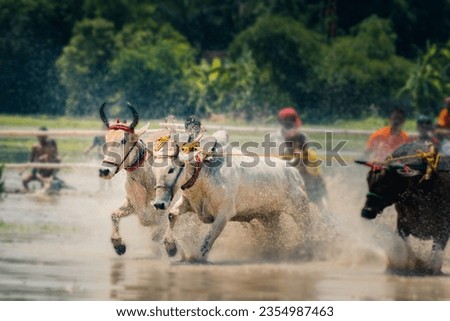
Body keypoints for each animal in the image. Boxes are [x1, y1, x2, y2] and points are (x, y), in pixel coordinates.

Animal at [99, 103, 168, 255]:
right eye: (106, 139)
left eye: (123, 140)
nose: (104, 171)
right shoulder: (131, 204)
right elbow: (114, 215)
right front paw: (118, 244)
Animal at [151, 129, 310, 262]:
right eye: (154, 171)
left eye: (171, 170)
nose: (159, 204)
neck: (204, 174)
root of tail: (294, 173)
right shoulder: (187, 203)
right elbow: (171, 214)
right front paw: (171, 248)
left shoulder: (224, 215)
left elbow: (207, 241)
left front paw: (198, 258)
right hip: (269, 216)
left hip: (300, 208)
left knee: (308, 229)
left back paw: (307, 250)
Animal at [358, 141, 450, 272]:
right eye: (368, 180)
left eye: (386, 182)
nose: (367, 211)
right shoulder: (402, 223)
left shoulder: (444, 228)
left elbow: (435, 253)